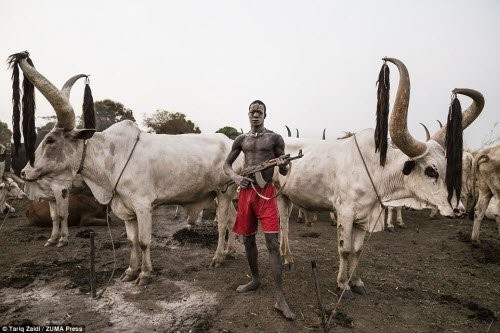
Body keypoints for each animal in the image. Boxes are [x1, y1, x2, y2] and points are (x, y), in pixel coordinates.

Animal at [9, 52, 240, 286]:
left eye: (50, 140)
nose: (24, 172)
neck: (112, 158)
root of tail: (230, 142)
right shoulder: (127, 211)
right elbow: (132, 241)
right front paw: (130, 271)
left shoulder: (143, 206)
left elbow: (145, 241)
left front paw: (145, 274)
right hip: (222, 195)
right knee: (232, 218)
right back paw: (229, 252)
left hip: (224, 192)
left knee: (222, 223)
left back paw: (218, 257)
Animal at [276, 57, 482, 298]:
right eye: (431, 170)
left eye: (448, 166)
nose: (458, 209)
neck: (375, 170)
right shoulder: (345, 212)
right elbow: (345, 250)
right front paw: (342, 285)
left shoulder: (365, 215)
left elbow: (357, 250)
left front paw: (357, 282)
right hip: (278, 196)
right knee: (283, 224)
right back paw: (287, 259)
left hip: (289, 196)